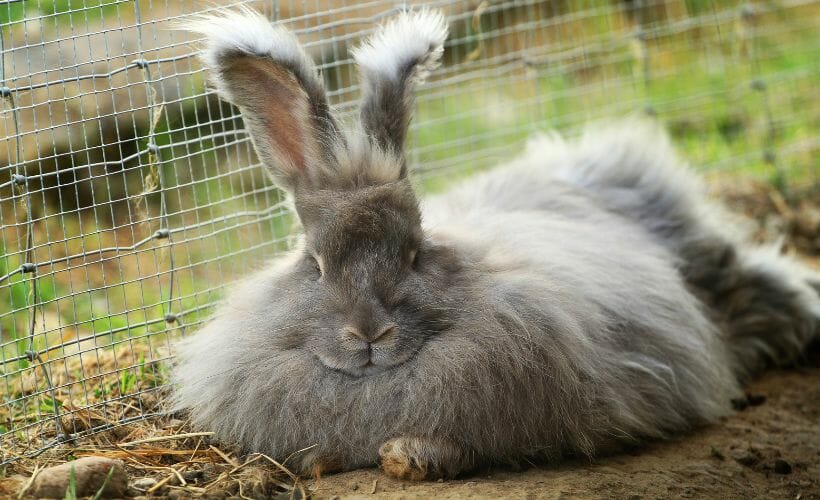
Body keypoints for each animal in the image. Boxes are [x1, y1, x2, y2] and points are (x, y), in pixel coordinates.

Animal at [173, 6, 820, 476]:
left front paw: (407, 458)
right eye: (316, 263)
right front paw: (320, 461)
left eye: (415, 253)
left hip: (717, 269)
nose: (369, 334)